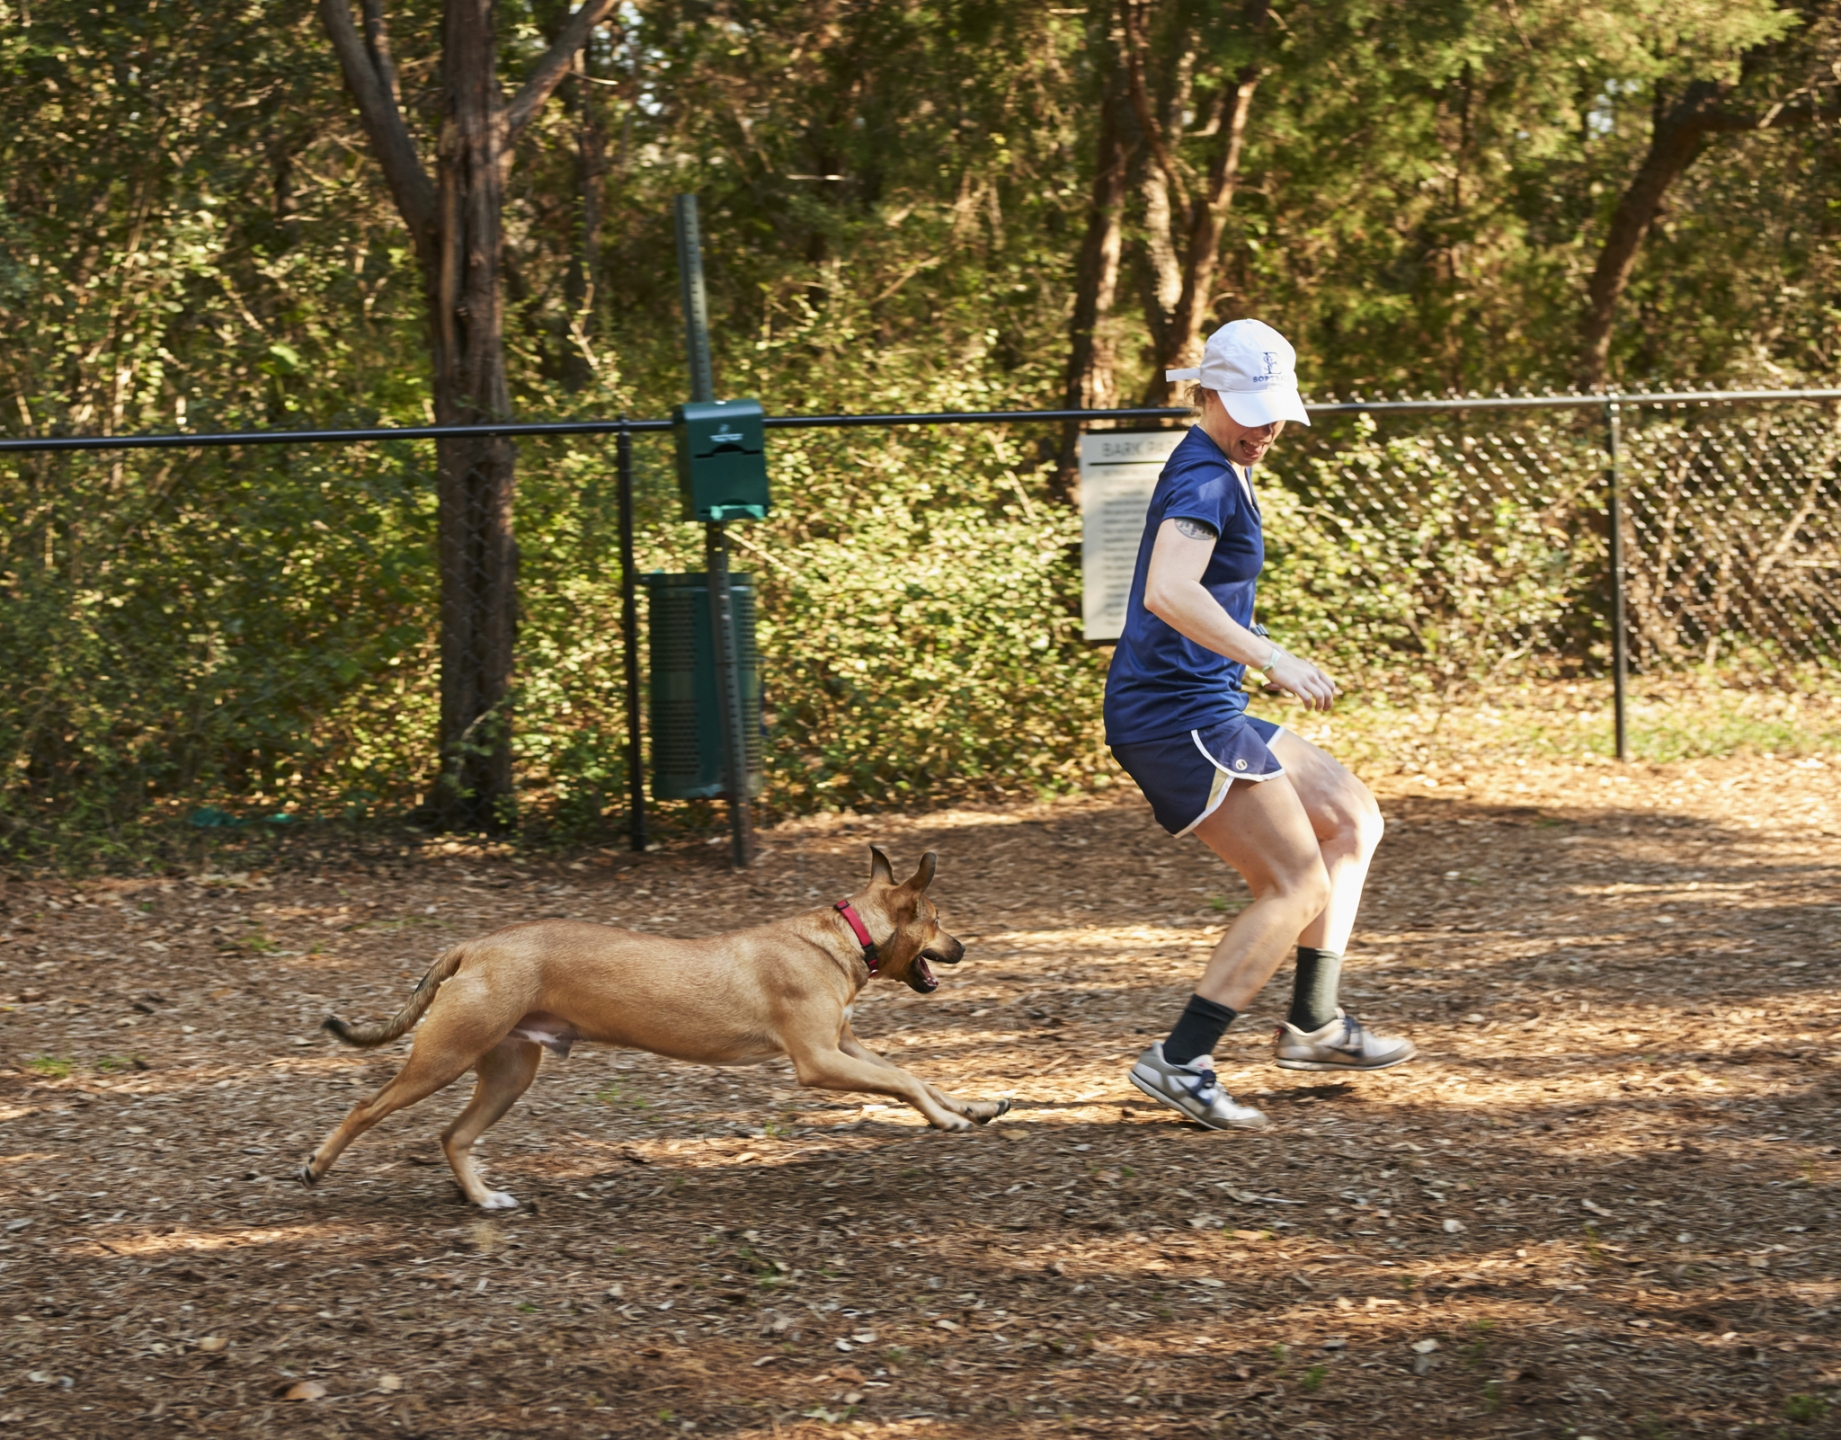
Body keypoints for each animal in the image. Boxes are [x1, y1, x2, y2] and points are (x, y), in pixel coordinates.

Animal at [294, 850, 1008, 1215]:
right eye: (937, 918)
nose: (964, 947)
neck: (846, 935)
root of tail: (475, 945)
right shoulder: (819, 1060)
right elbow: (905, 1081)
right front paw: (947, 1120)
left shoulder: (846, 1045)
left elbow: (916, 1074)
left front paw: (974, 1107)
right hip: (445, 1055)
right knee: (366, 1107)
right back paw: (316, 1165)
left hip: (509, 1071)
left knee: (453, 1135)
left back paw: (484, 1198)